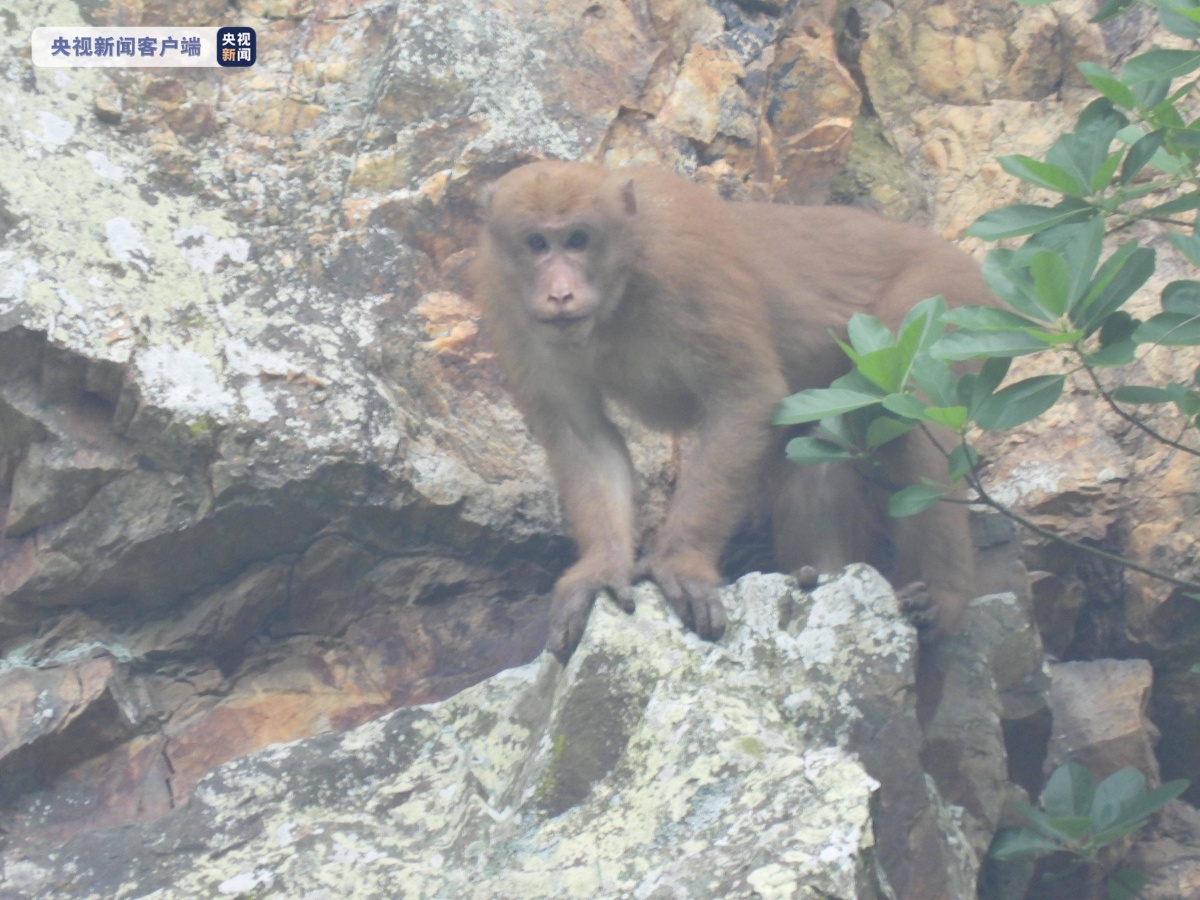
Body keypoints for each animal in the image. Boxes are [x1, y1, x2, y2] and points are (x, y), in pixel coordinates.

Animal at [470, 160, 993, 662]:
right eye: (536, 243)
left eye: (578, 240)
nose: (559, 294)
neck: (622, 279)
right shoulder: (506, 301)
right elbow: (585, 437)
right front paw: (601, 568)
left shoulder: (684, 259)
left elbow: (745, 397)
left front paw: (681, 562)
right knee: (819, 452)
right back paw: (817, 575)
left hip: (941, 300)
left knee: (911, 417)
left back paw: (942, 599)